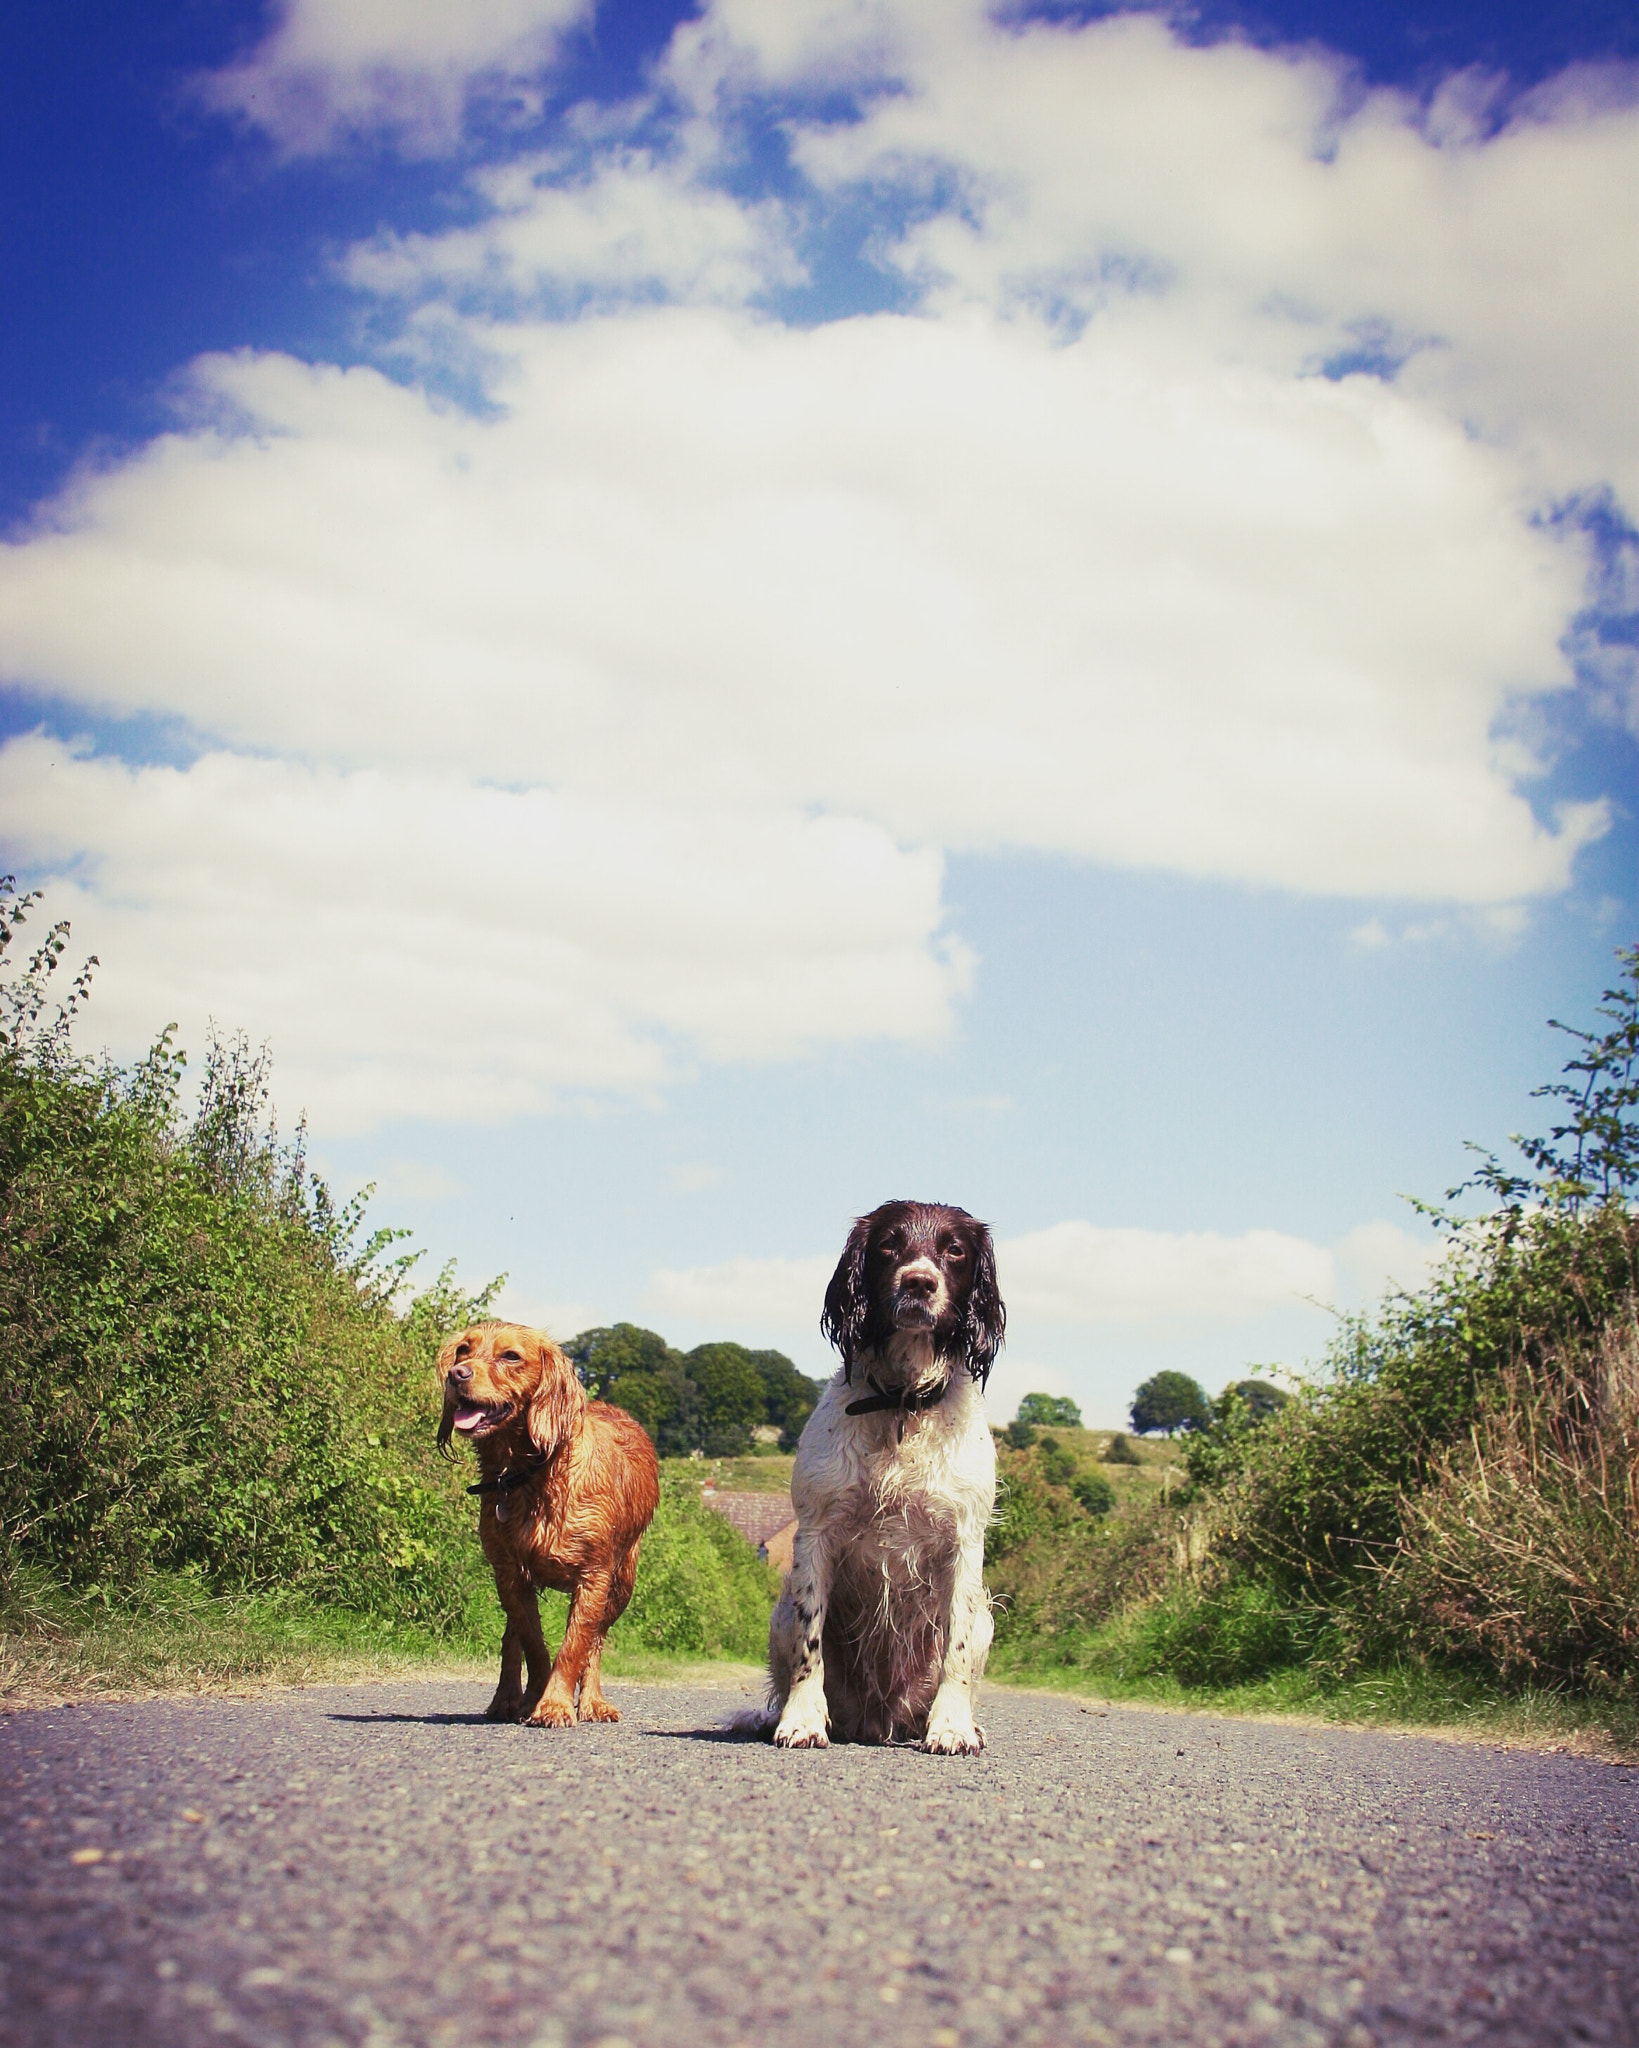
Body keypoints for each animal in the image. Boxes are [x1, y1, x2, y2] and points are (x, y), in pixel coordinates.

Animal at [442, 1318, 663, 1720]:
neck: (529, 1474)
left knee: (596, 1643)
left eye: (511, 1356)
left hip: (623, 1582)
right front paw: (537, 1697)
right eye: (463, 1350)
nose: (456, 1374)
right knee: (511, 1636)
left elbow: (576, 1645)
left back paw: (592, 1702)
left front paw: (556, 1704)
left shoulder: (595, 1576)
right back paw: (506, 1699)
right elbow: (533, 1643)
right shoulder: (510, 1574)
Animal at [737, 1204, 999, 1753]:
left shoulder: (965, 1540)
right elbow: (809, 1646)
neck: (901, 1403)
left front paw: (952, 1727)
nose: (919, 1282)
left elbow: (958, 1649)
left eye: (954, 1250)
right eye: (888, 1245)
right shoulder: (815, 1531)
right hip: (779, 1615)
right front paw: (803, 1720)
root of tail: (878, 1723)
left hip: (988, 1616)